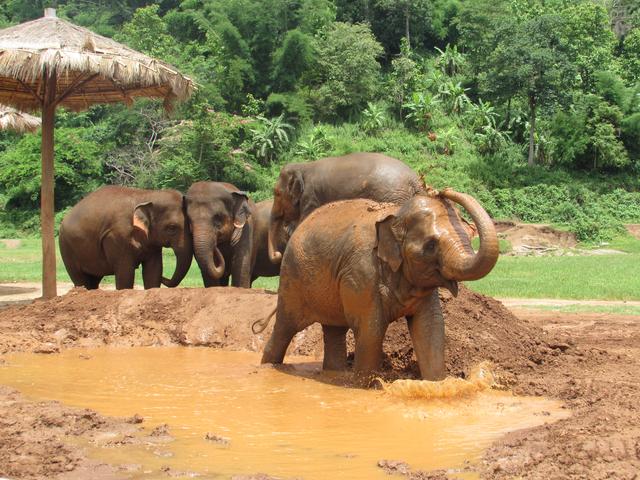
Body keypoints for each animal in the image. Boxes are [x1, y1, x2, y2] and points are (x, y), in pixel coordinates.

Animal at [60, 185, 195, 288]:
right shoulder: (117, 237)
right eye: (172, 228)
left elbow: (153, 271)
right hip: (67, 249)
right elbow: (125, 273)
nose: (165, 277)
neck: (146, 195)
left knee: (93, 280)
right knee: (80, 279)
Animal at [256, 189, 500, 384]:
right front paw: (366, 386)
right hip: (292, 279)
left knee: (334, 330)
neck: (396, 214)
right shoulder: (361, 272)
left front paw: (438, 386)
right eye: (430, 245)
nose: (443, 191)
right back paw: (268, 367)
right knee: (285, 328)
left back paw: (334, 375)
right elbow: (371, 329)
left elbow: (431, 326)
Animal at [266, 152, 424, 264]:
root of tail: (415, 181)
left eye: (277, 193)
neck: (303, 166)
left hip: (392, 197)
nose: (277, 255)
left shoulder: (311, 197)